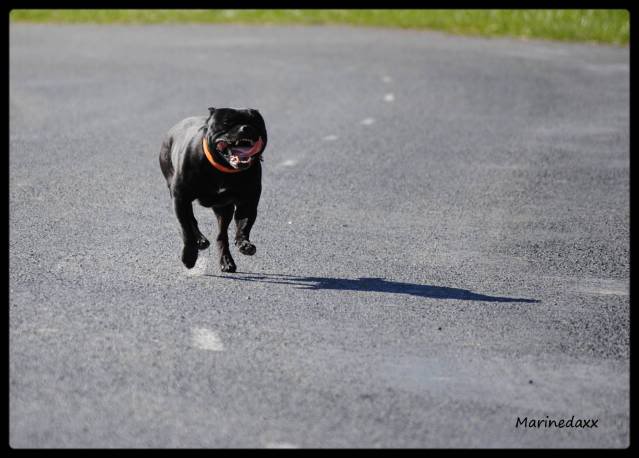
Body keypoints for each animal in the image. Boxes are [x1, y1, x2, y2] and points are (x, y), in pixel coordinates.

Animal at [161, 107, 268, 272]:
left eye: (255, 122)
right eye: (227, 122)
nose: (246, 128)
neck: (222, 169)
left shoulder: (248, 202)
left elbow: (244, 225)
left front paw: (244, 244)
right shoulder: (180, 199)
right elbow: (186, 230)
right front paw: (189, 256)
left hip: (223, 209)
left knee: (221, 235)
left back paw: (226, 261)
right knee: (191, 220)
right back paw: (200, 240)